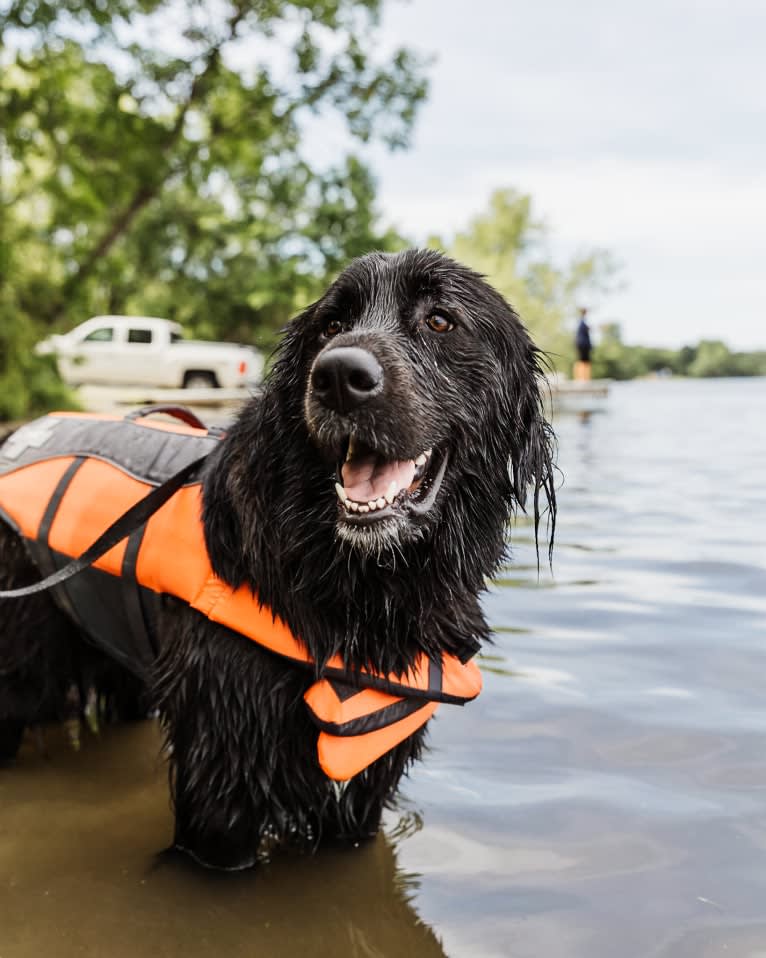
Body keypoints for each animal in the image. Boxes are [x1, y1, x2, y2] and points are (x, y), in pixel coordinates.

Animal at [0, 251, 556, 872]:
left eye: (440, 320)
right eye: (331, 325)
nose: (338, 377)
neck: (358, 587)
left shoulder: (367, 777)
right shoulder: (222, 769)